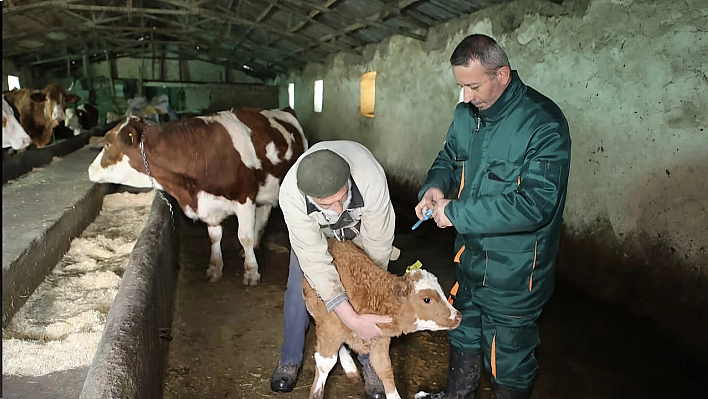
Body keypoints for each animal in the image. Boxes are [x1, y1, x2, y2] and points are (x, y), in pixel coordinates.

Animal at [88, 108, 306, 286]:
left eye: (107, 144)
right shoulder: (208, 205)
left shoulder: (245, 198)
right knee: (263, 214)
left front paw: (251, 272)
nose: (90, 170)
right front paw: (215, 268)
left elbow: (244, 236)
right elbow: (214, 237)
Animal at [306, 239, 464, 399]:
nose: (458, 316)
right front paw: (315, 393)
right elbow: (325, 363)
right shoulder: (330, 328)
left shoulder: (379, 339)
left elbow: (384, 368)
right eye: (427, 299)